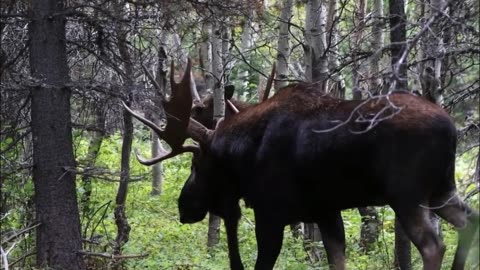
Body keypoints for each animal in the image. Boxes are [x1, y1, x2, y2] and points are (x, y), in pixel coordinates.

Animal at [124, 60, 480, 268]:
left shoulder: (272, 212)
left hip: (406, 195)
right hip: (443, 189)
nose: (183, 206)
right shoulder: (325, 211)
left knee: (433, 246)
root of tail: (451, 129)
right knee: (471, 220)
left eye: (196, 165)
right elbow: (337, 260)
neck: (246, 153)